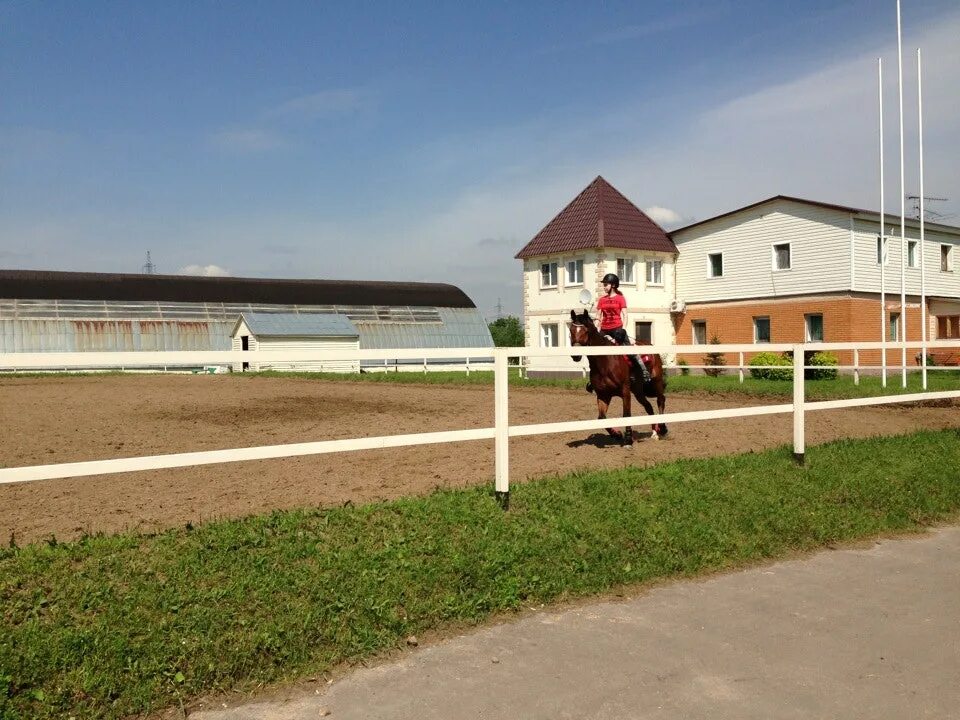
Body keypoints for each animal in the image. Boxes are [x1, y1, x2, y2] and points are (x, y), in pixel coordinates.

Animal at [568, 310, 668, 444]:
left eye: (586, 331)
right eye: (571, 330)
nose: (576, 355)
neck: (605, 362)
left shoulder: (625, 392)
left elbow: (626, 415)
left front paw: (628, 439)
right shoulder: (603, 395)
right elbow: (601, 418)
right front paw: (617, 434)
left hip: (656, 381)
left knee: (660, 400)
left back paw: (662, 429)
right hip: (638, 391)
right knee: (648, 407)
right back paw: (654, 433)